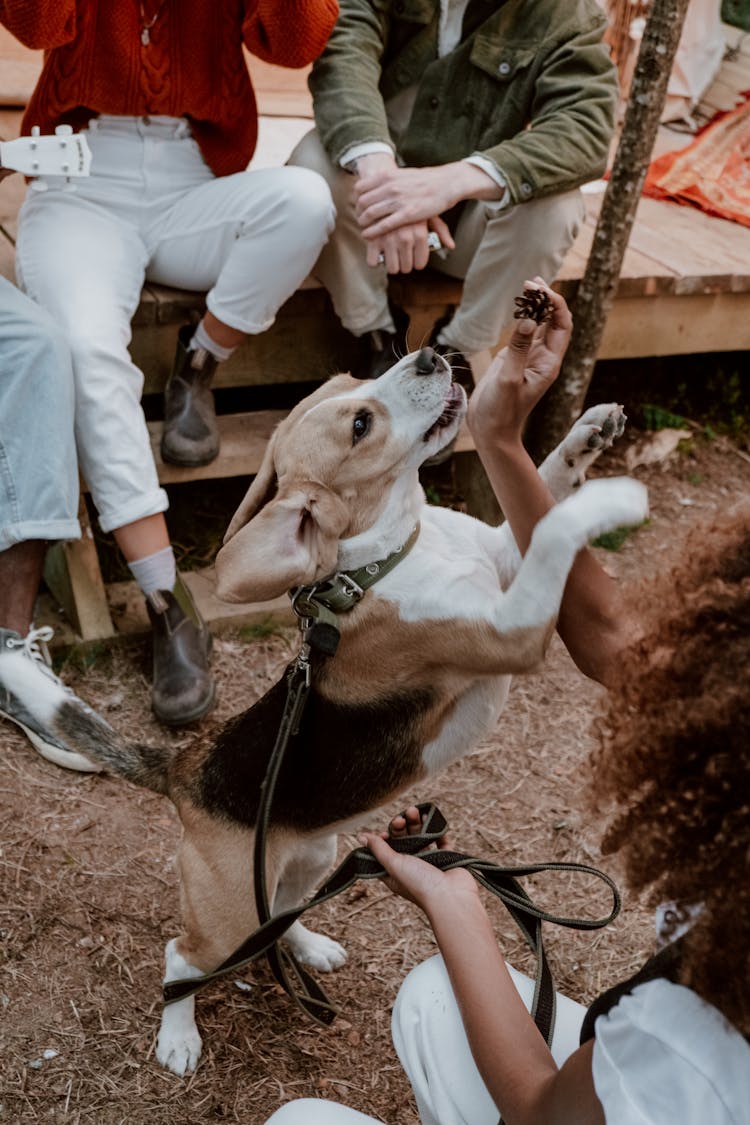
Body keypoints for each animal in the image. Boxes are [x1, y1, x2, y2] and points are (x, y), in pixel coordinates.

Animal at [0, 346, 647, 1075]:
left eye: (359, 382)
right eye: (361, 424)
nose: (433, 355)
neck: (383, 560)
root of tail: (188, 765)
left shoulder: (504, 562)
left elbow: (543, 485)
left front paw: (588, 436)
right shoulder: (515, 628)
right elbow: (555, 531)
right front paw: (609, 500)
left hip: (314, 851)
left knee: (280, 911)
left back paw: (307, 946)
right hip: (222, 917)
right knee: (181, 958)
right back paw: (179, 1035)